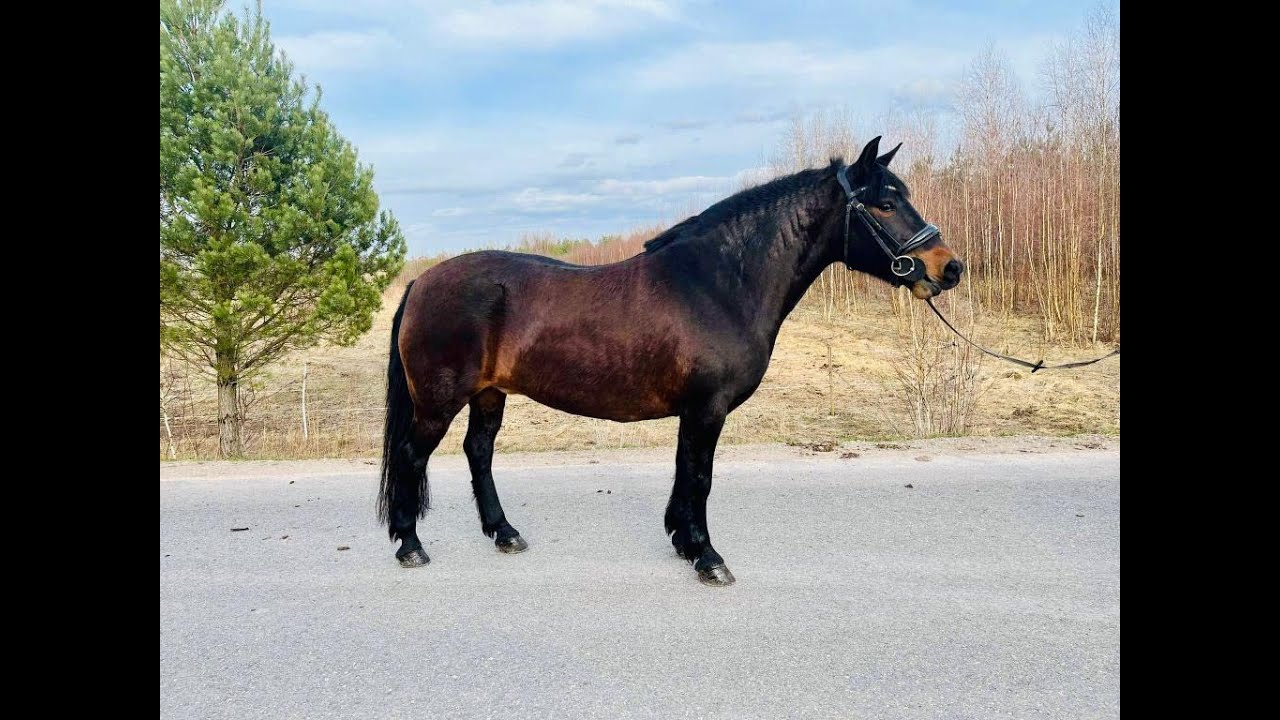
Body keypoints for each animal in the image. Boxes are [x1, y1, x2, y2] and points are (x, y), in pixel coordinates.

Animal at [378, 136, 965, 586]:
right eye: (884, 204)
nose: (950, 267)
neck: (718, 284)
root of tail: (423, 281)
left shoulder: (696, 411)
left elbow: (686, 474)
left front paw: (685, 543)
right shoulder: (707, 408)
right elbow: (700, 477)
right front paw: (707, 557)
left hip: (489, 394)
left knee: (478, 453)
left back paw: (505, 533)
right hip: (438, 401)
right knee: (412, 456)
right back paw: (410, 545)